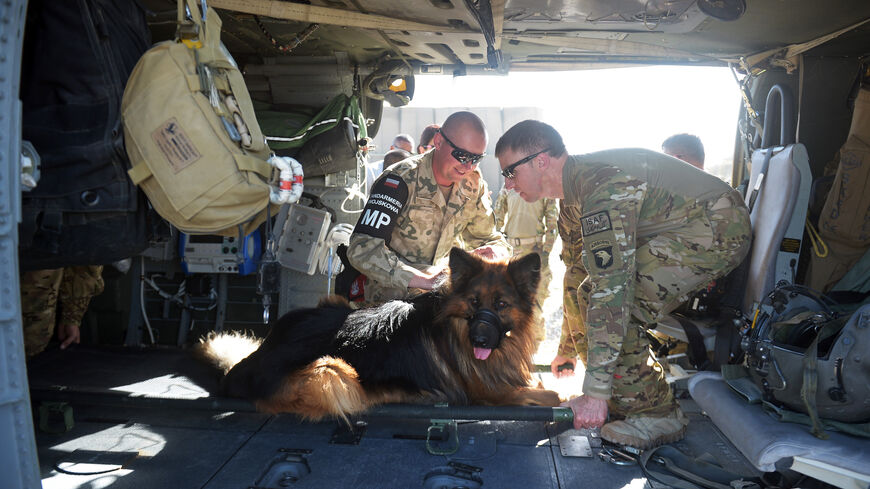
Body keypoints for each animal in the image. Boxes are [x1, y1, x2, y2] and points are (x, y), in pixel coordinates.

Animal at [198, 248, 564, 420]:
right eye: (474, 302)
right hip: (332, 373)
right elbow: (552, 395)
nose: (480, 341)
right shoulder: (492, 394)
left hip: (333, 304)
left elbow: (541, 383)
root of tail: (241, 368)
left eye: (501, 305)